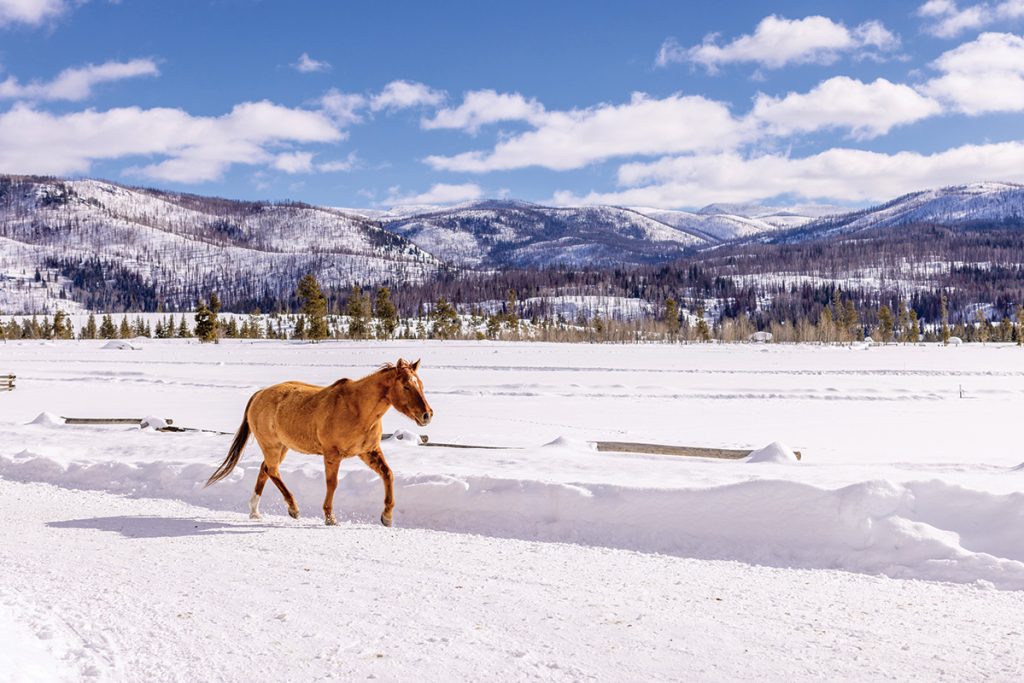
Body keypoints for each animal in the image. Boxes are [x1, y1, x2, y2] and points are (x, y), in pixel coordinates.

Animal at [204, 358, 432, 527]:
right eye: (406, 386)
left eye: (420, 385)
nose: (427, 415)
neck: (357, 408)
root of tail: (259, 394)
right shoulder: (332, 454)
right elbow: (332, 483)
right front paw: (330, 517)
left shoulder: (369, 451)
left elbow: (388, 474)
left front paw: (387, 517)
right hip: (272, 445)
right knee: (272, 470)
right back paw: (293, 508)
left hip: (282, 447)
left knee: (265, 469)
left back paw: (255, 511)